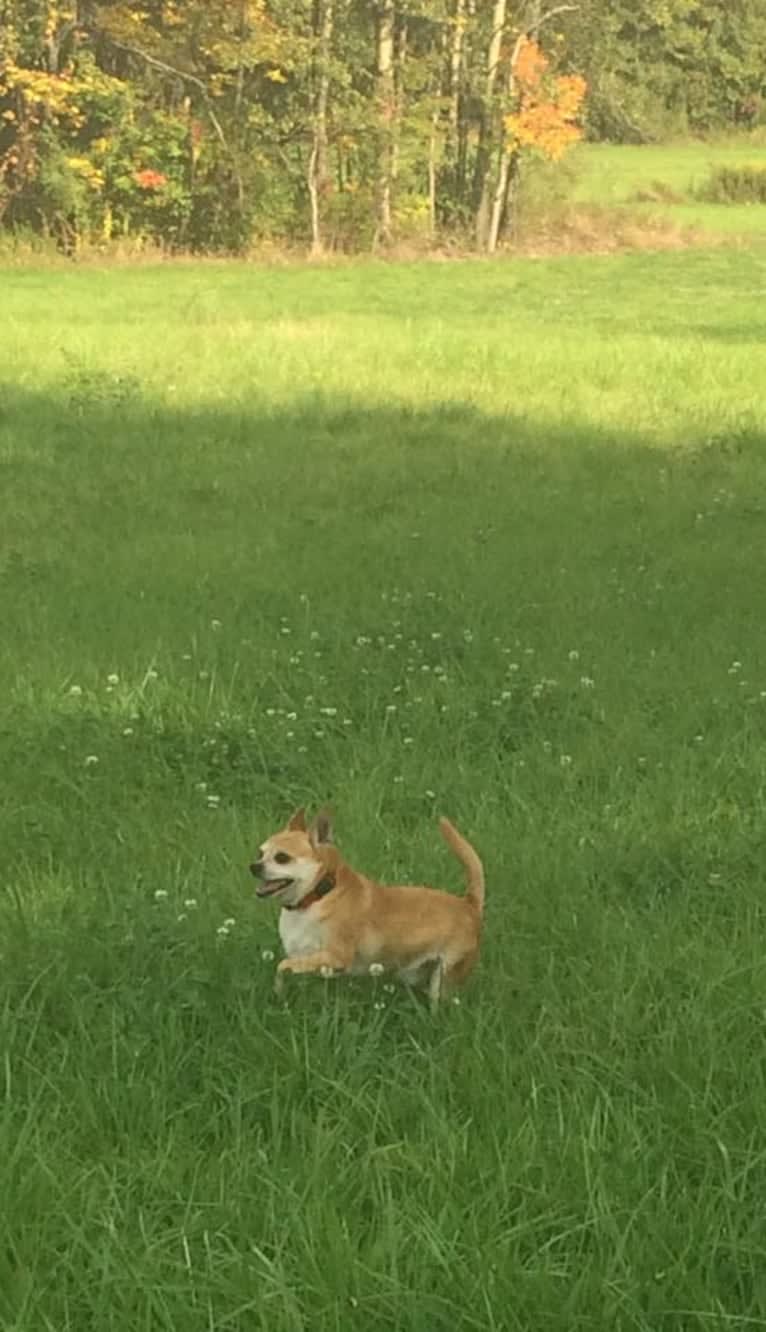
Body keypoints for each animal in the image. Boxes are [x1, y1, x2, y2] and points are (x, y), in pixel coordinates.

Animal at [249, 799, 482, 1006]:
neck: (318, 895)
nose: (254, 866)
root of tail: (469, 904)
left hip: (445, 976)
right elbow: (291, 968)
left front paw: (278, 989)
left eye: (282, 858)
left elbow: (282, 965)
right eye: (260, 853)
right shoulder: (314, 962)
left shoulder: (336, 958)